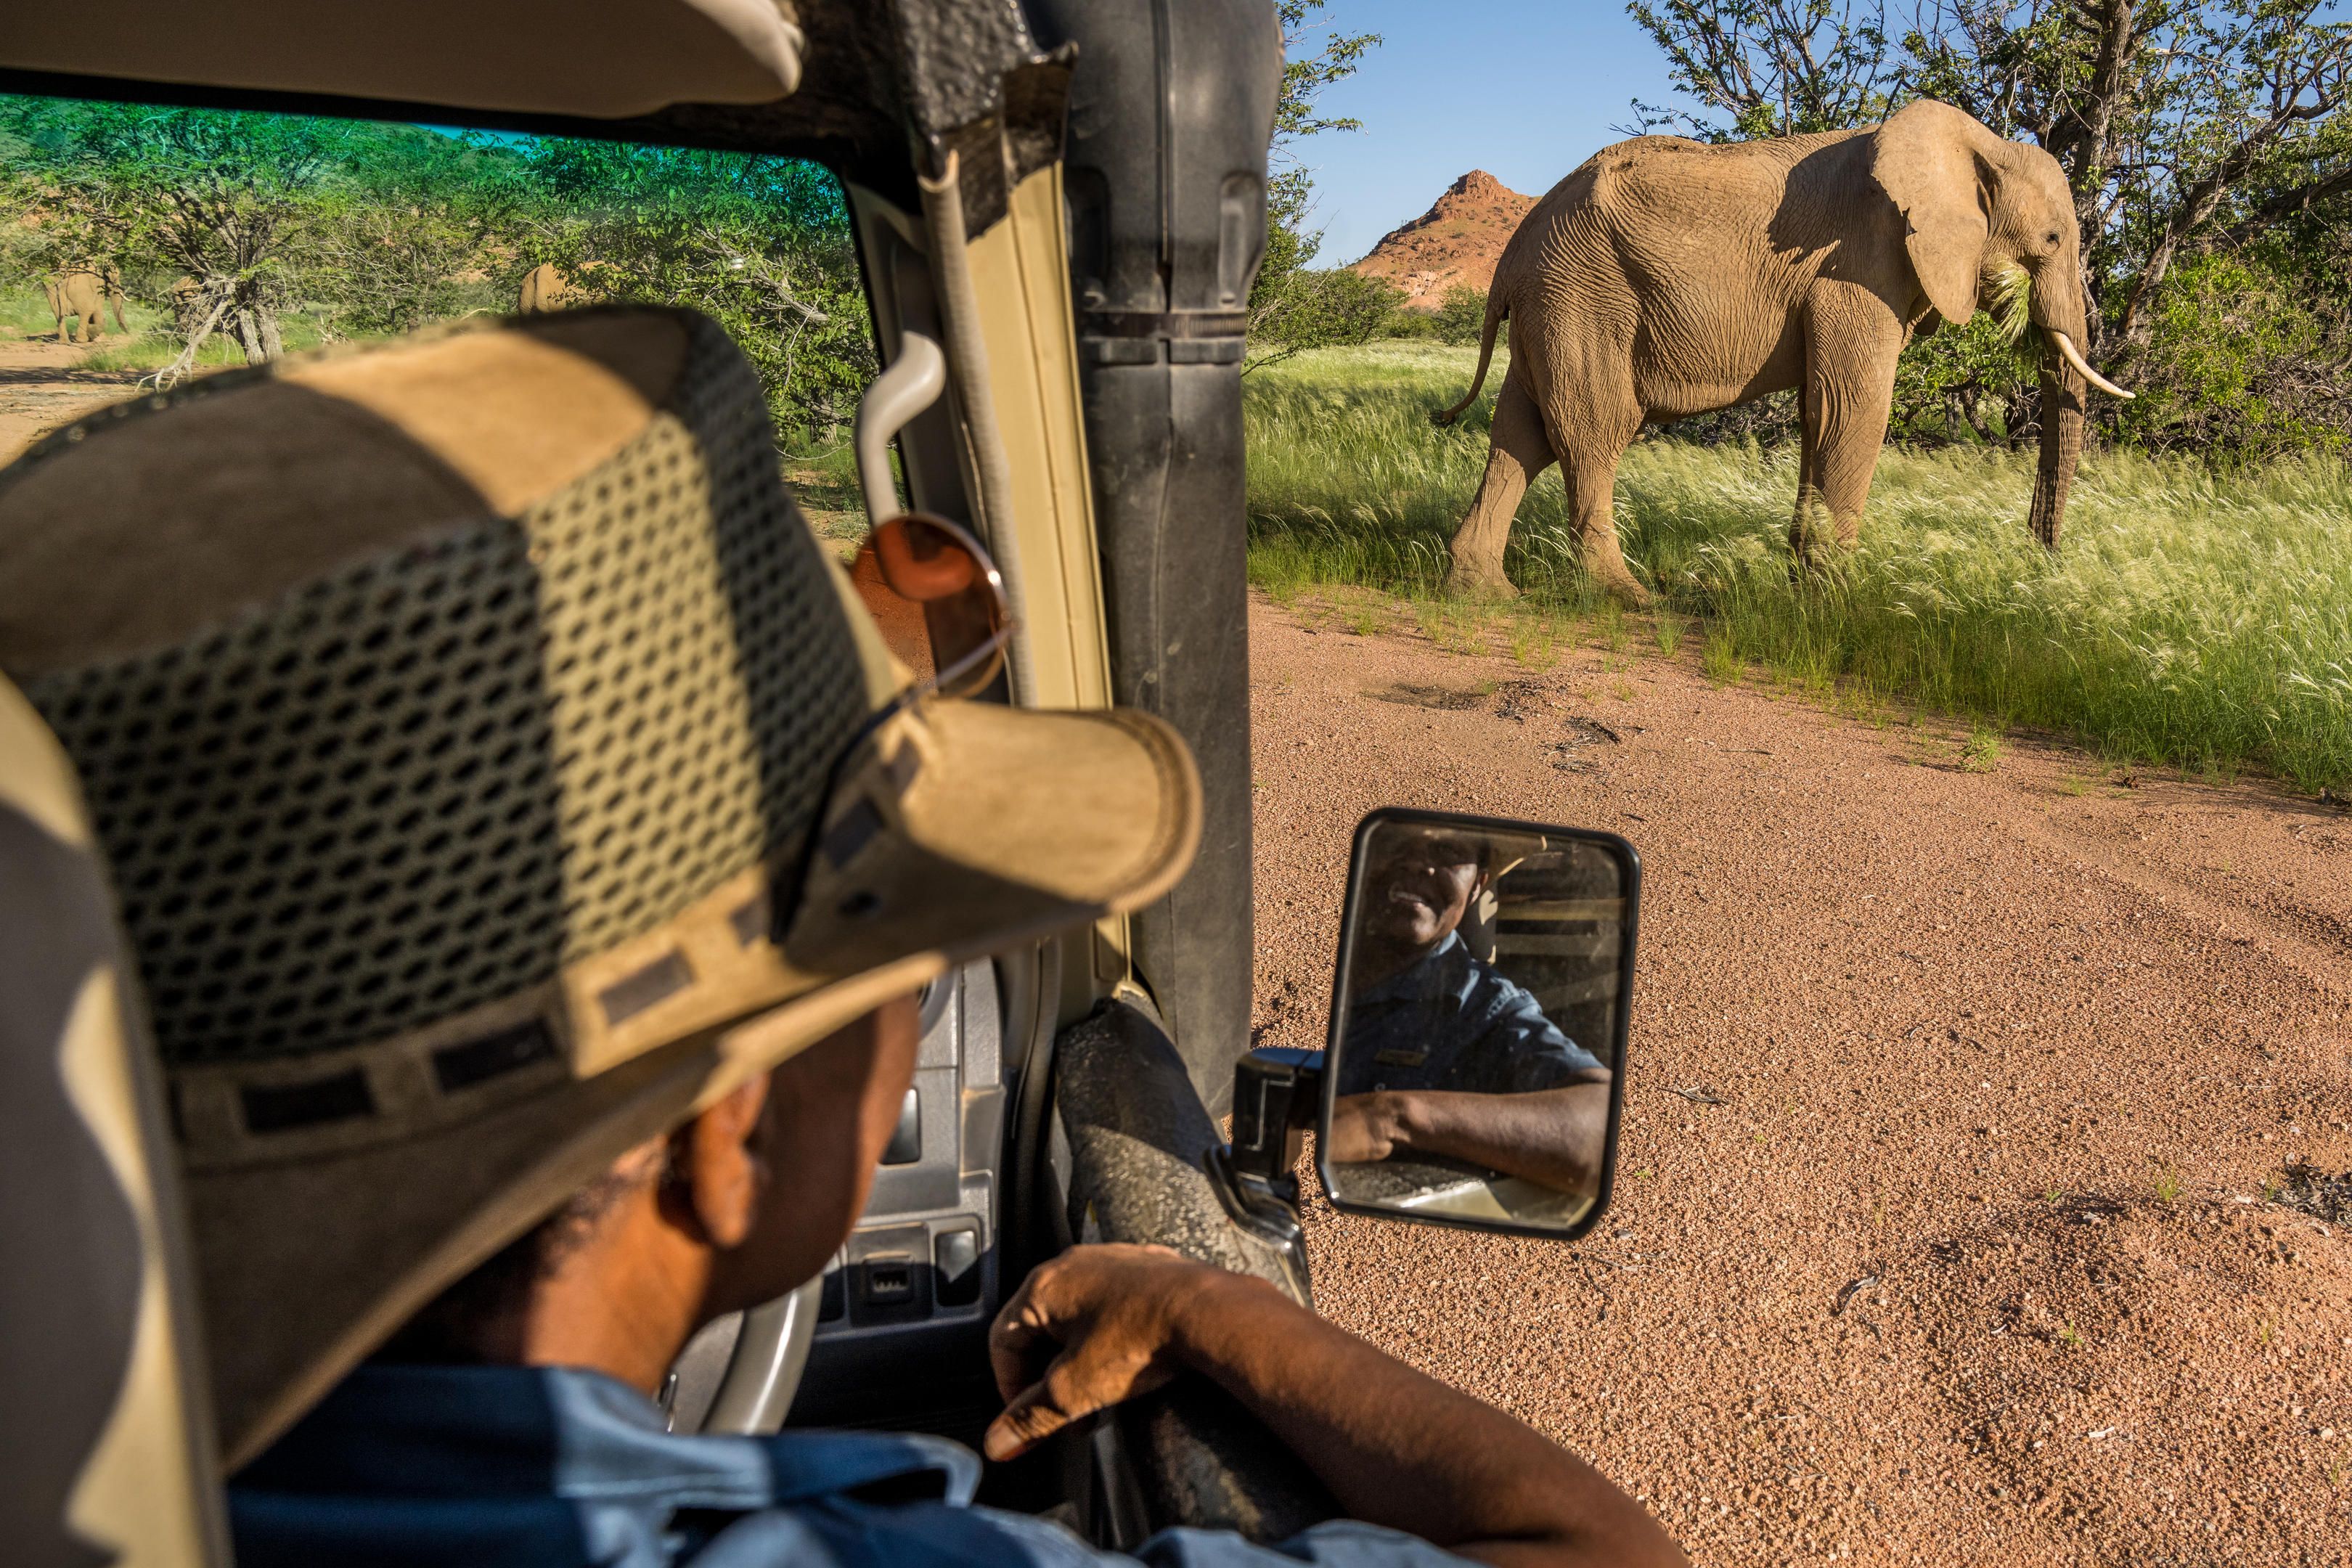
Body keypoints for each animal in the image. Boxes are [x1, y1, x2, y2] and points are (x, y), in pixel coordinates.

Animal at [1435, 99, 2132, 606]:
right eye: (2052, 238)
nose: (2039, 562)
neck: (1979, 143)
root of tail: (1510, 258)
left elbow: (1817, 415)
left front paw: (1802, 589)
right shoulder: (1858, 268)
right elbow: (1853, 409)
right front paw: (1840, 604)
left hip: (1552, 302)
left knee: (1520, 435)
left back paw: (1484, 593)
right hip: (1582, 297)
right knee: (1593, 433)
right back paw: (1628, 597)